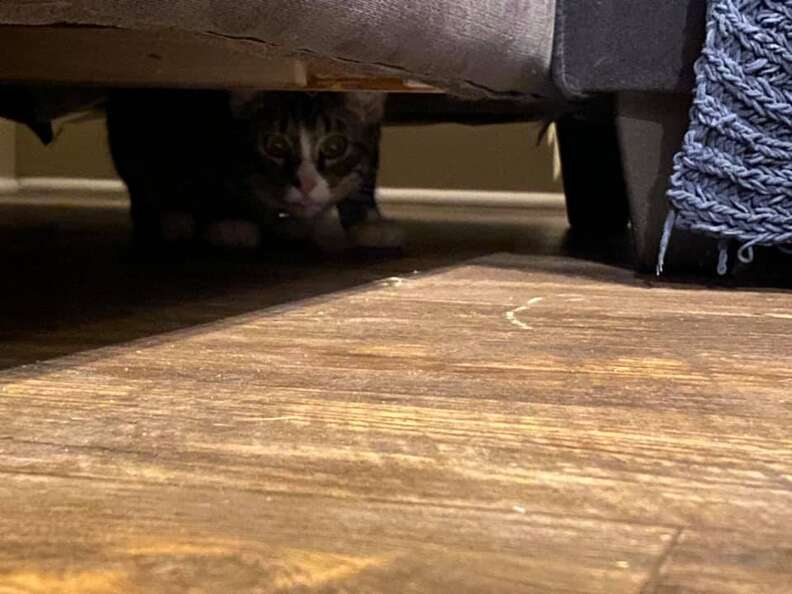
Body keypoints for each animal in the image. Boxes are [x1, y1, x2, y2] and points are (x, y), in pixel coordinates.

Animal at [105, 89, 402, 251]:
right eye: (276, 145)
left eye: (334, 146)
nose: (305, 184)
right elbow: (215, 169)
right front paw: (230, 220)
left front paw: (368, 222)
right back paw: (172, 217)